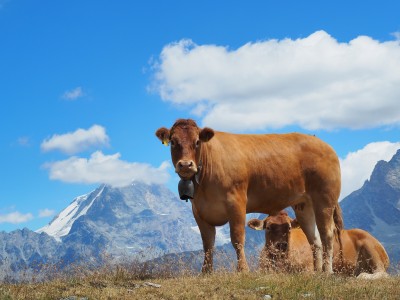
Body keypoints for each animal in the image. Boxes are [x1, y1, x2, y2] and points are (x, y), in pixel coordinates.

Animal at [155, 118, 342, 274]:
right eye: (173, 142)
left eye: (197, 142)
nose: (186, 165)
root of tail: (323, 144)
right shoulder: (199, 211)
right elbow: (208, 245)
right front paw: (206, 272)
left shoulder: (236, 203)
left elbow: (237, 239)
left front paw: (243, 270)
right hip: (304, 206)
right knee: (315, 240)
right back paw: (317, 271)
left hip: (325, 199)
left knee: (327, 234)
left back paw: (327, 271)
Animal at [248, 211, 390, 278]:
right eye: (268, 227)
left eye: (289, 228)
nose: (281, 245)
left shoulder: (308, 269)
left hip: (371, 249)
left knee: (381, 273)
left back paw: (361, 276)